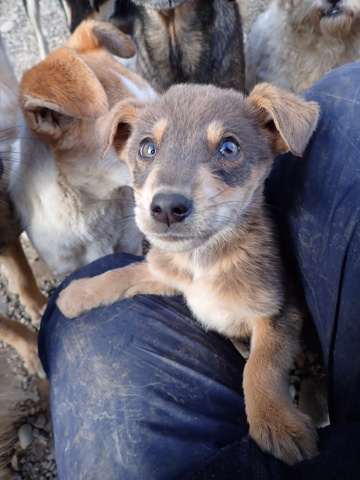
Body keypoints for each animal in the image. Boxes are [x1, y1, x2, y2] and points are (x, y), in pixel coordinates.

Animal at [57, 80, 320, 464]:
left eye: (229, 148)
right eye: (147, 148)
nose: (166, 207)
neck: (202, 260)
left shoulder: (277, 309)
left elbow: (260, 366)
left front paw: (276, 422)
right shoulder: (166, 275)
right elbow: (123, 275)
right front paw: (78, 293)